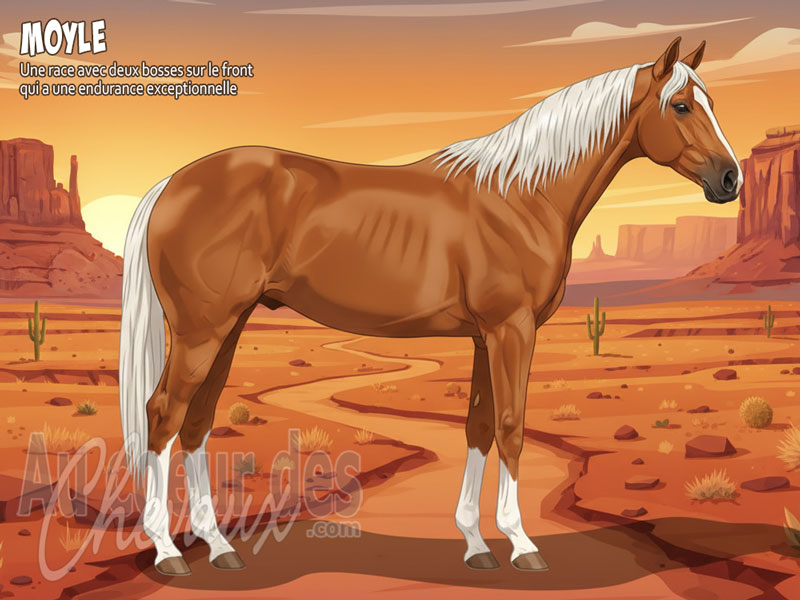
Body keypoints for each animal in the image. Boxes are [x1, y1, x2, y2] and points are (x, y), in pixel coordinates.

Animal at [119, 37, 742, 576]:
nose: (730, 179)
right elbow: (511, 427)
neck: (522, 194)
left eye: (713, 103)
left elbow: (479, 427)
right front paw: (521, 544)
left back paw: (220, 547)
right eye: (681, 105)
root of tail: (172, 183)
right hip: (201, 331)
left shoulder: (486, 336)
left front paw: (475, 543)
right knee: (163, 415)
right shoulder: (512, 329)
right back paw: (168, 552)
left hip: (227, 327)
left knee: (196, 422)